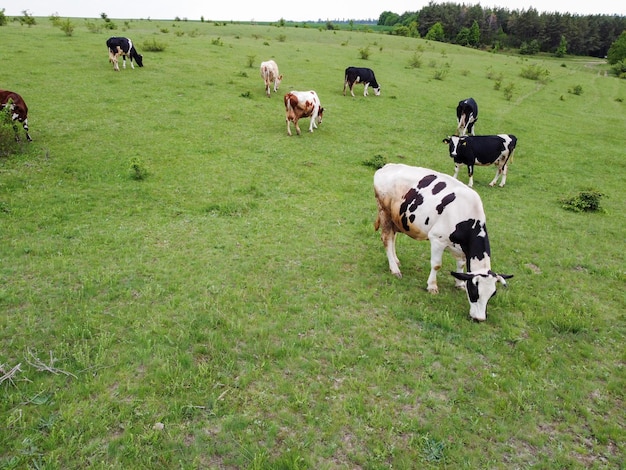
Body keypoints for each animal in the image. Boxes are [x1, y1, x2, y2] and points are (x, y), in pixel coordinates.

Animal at [370, 163, 512, 322]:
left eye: (492, 294)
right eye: (475, 292)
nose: (480, 319)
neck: (466, 215)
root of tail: (387, 166)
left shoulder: (461, 248)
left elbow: (461, 265)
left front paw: (459, 283)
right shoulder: (437, 239)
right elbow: (436, 265)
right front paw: (432, 286)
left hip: (397, 218)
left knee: (393, 237)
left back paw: (395, 260)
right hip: (385, 212)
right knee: (387, 239)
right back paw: (394, 269)